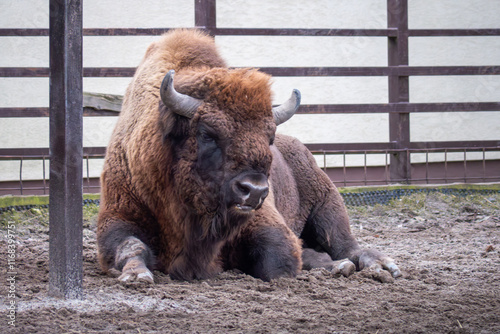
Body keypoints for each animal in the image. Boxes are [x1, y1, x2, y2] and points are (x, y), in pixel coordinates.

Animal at [98, 29, 402, 284]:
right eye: (207, 133)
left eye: (269, 137)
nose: (254, 190)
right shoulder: (117, 216)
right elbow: (130, 245)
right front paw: (136, 275)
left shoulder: (263, 219)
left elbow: (279, 261)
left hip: (328, 205)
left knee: (346, 245)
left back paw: (378, 266)